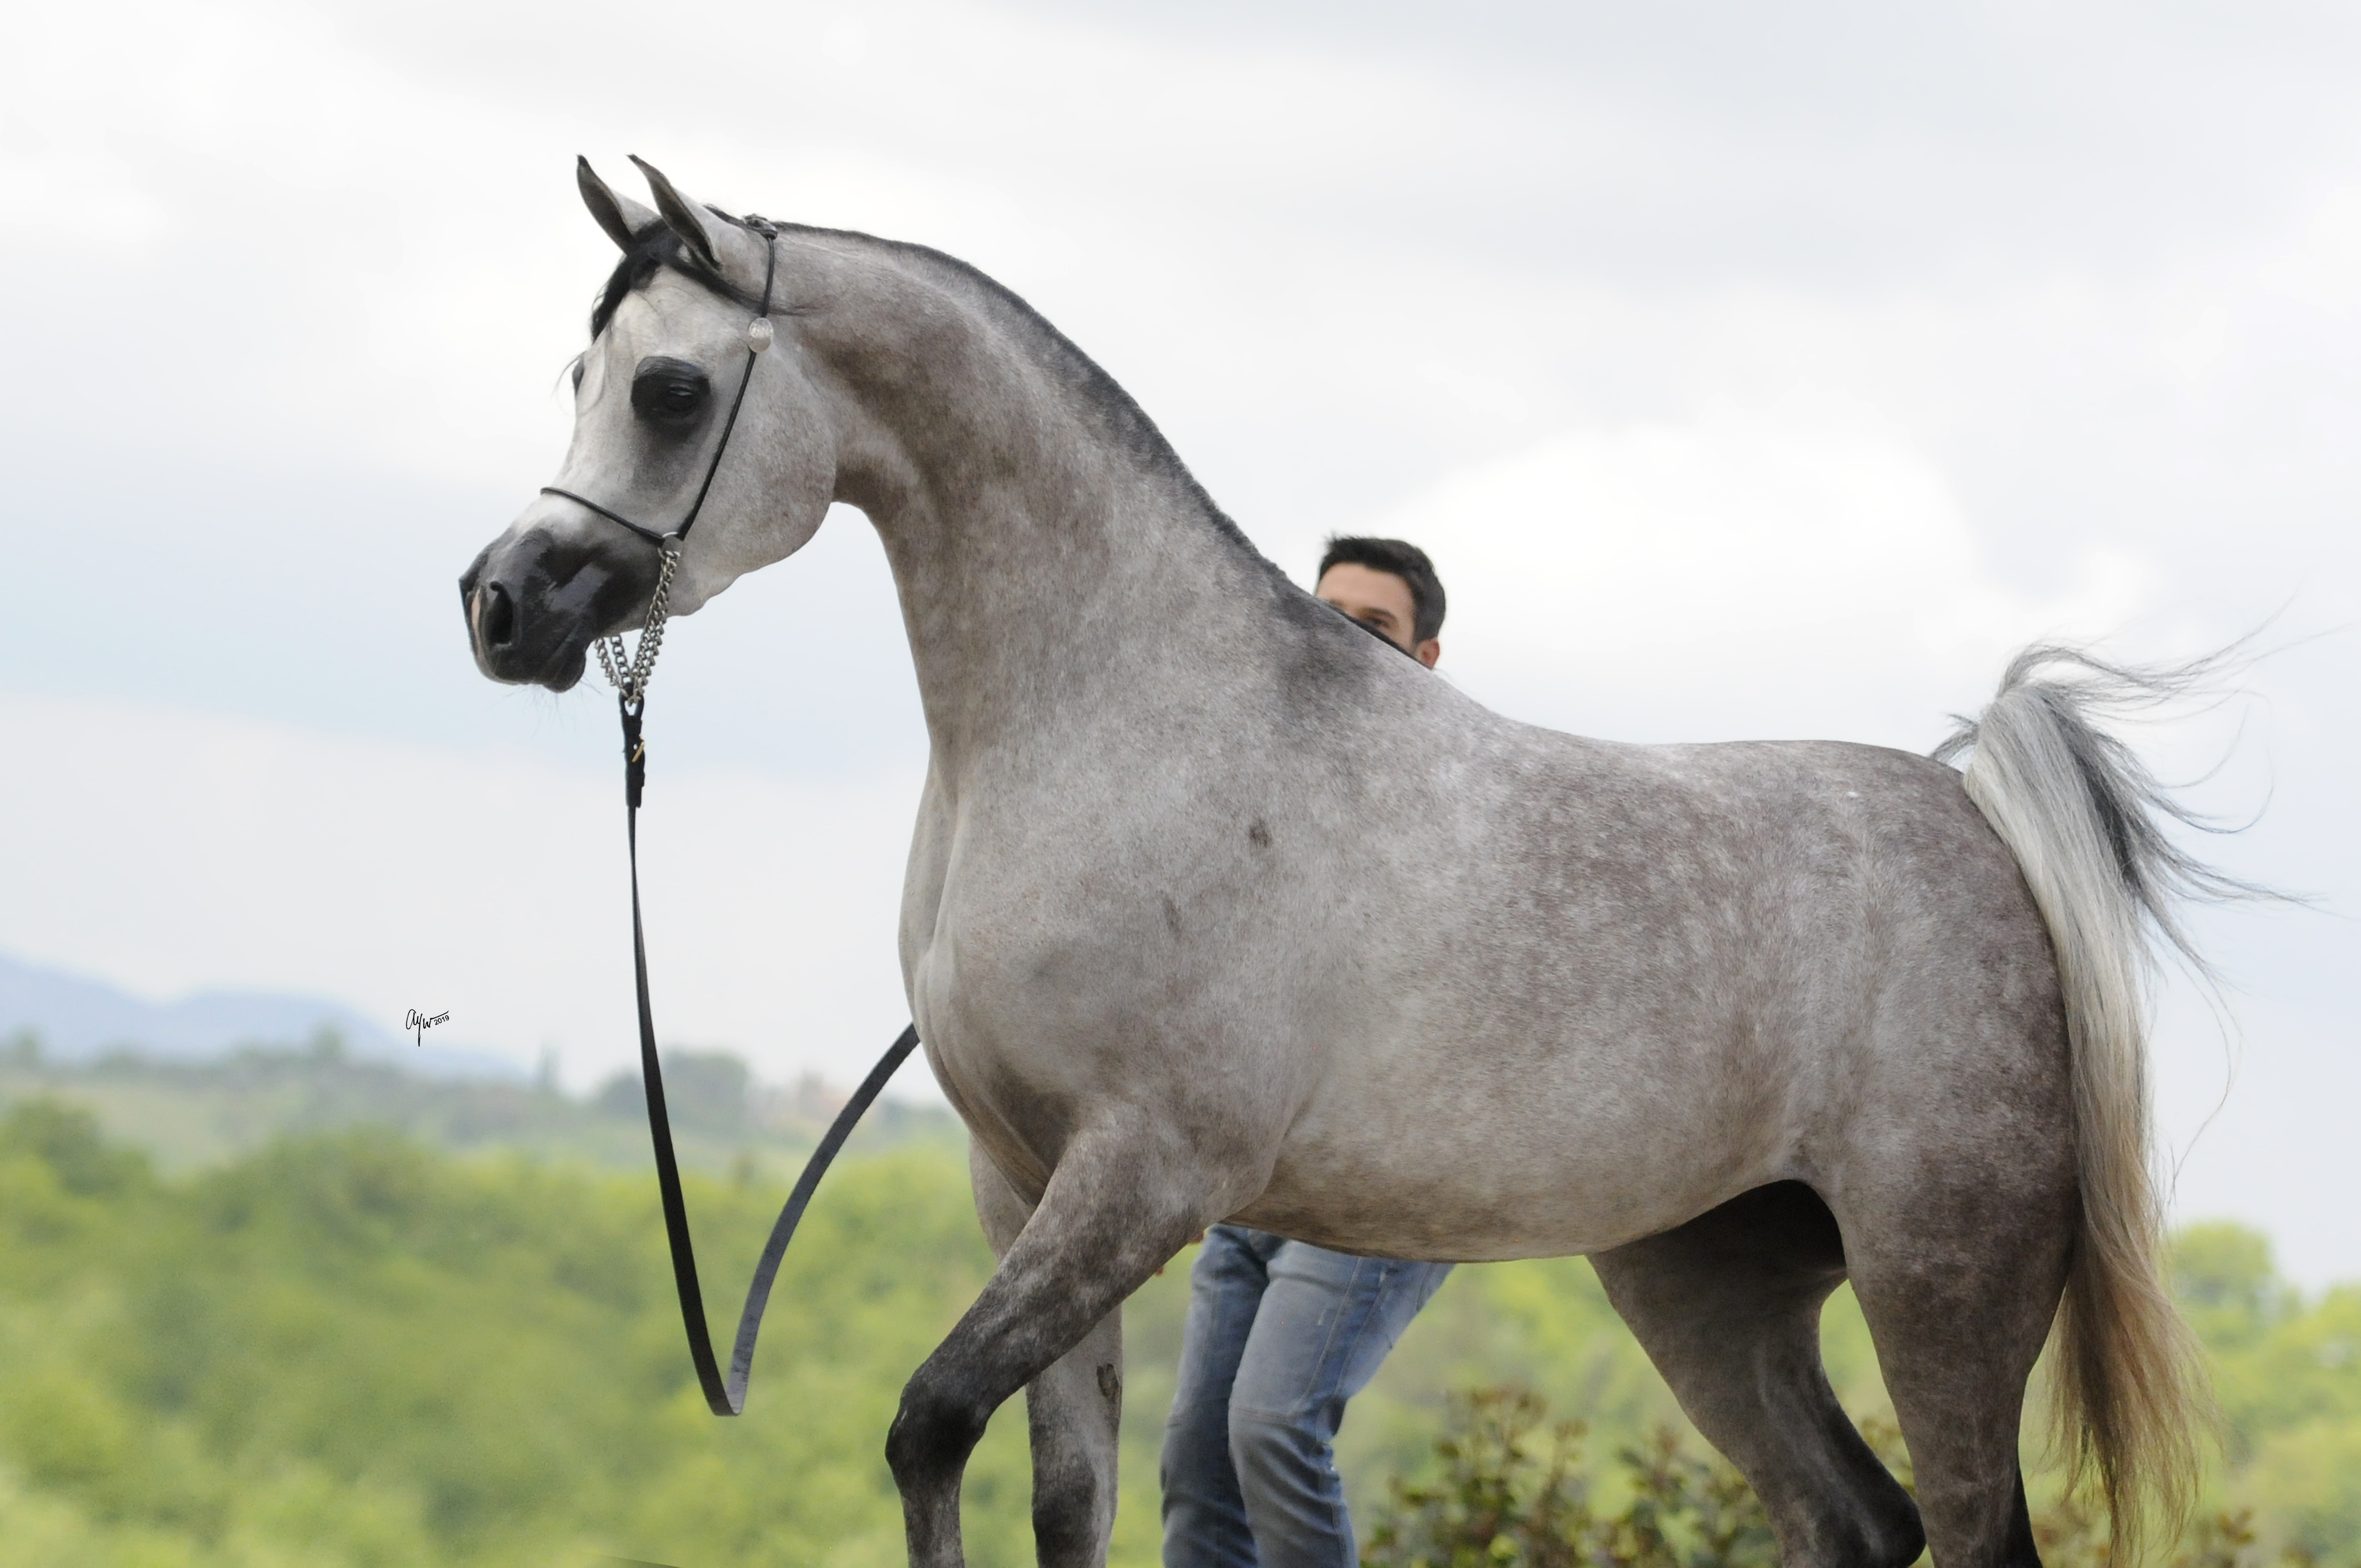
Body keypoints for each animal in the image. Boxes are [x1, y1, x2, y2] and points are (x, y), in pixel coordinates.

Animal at [461, 158, 2230, 1568]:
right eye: (582, 369)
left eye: (671, 389)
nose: (503, 605)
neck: (1118, 713)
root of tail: (1971, 825)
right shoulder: (1019, 1182)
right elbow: (1059, 1497)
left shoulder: (1137, 1179)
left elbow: (927, 1423)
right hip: (1708, 1289)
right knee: (1853, 1520)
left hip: (1943, 1288)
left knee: (1968, 1529)